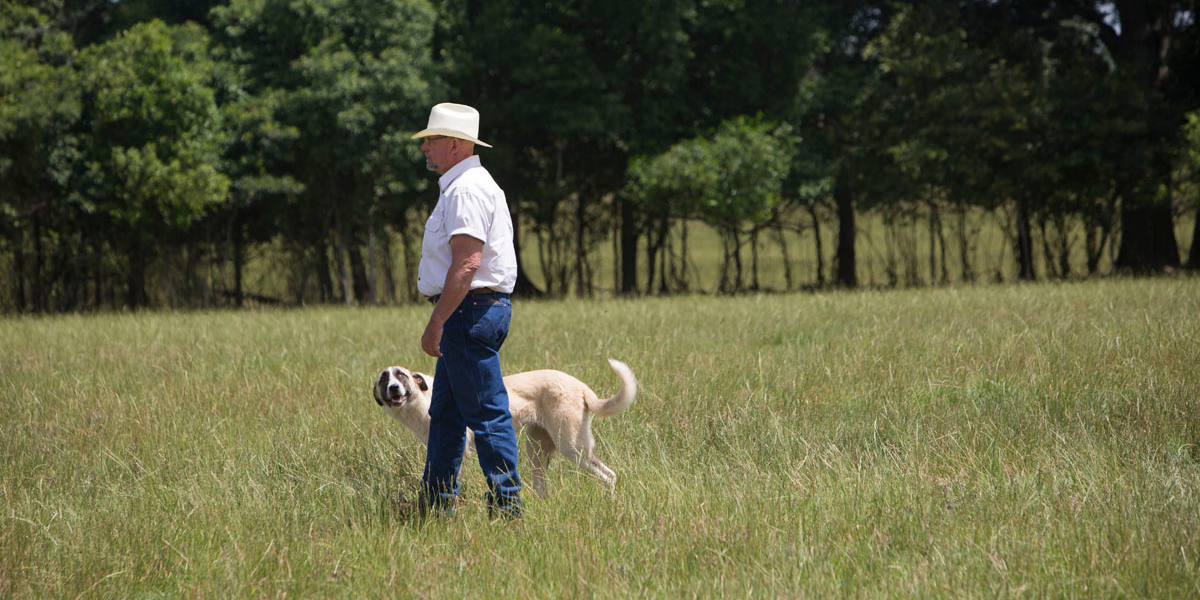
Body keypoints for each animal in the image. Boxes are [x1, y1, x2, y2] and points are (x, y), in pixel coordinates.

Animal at [372, 357, 638, 494]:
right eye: (384, 379)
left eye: (401, 375)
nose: (393, 389)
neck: (423, 398)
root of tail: (580, 385)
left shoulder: (459, 451)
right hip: (536, 451)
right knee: (542, 487)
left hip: (572, 448)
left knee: (609, 476)